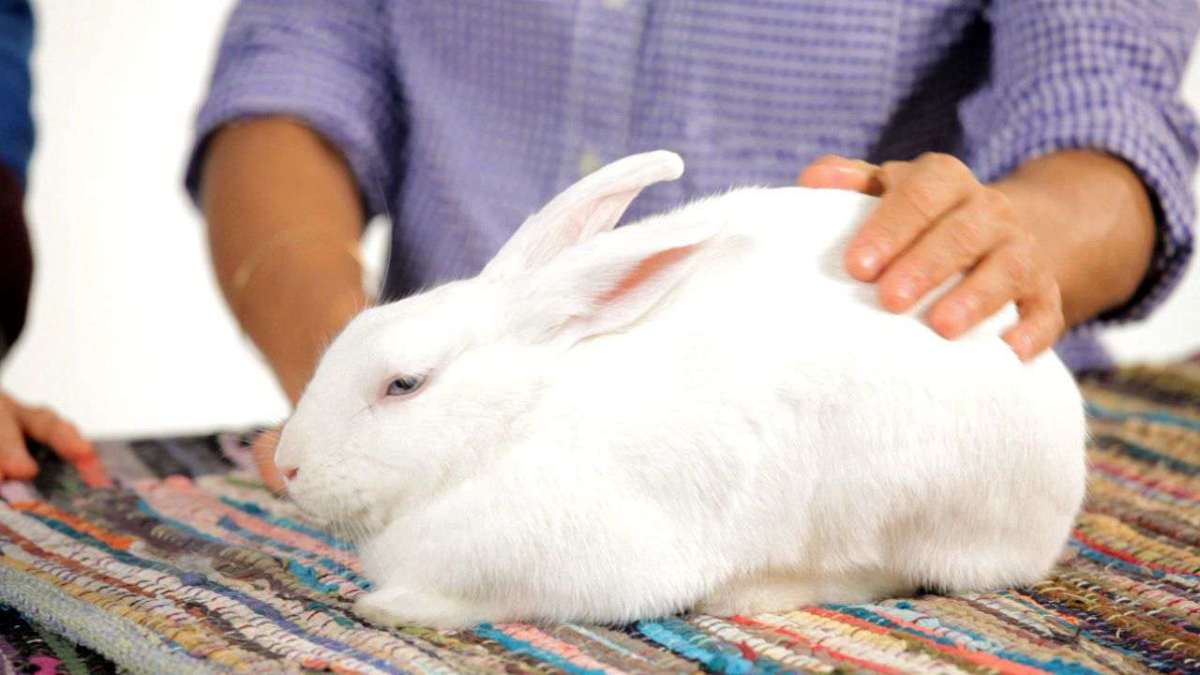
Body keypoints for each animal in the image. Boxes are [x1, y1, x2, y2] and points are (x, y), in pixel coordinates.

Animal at [275, 150, 1087, 629]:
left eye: (403, 384)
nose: (285, 466)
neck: (516, 424)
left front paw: (388, 606)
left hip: (893, 495)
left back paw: (752, 593)